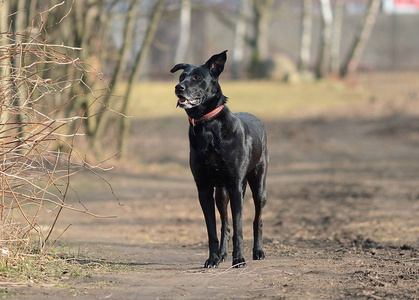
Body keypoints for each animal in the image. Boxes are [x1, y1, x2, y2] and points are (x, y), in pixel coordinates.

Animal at [171, 50, 270, 268]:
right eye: (181, 77)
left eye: (197, 78)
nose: (178, 88)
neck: (207, 126)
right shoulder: (204, 189)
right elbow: (213, 229)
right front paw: (213, 259)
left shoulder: (235, 186)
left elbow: (239, 227)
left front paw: (239, 259)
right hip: (221, 193)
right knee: (225, 223)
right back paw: (223, 254)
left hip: (258, 185)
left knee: (257, 219)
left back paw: (258, 251)